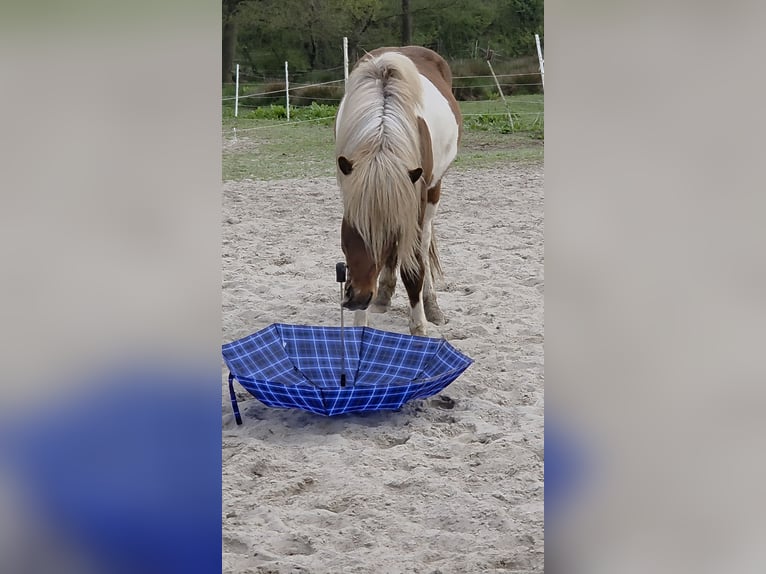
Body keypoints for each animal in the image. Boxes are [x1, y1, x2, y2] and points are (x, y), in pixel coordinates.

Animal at [334, 46, 462, 336]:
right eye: (351, 229)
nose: (358, 298)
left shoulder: (414, 204)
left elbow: (414, 266)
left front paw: (419, 325)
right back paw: (383, 295)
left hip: (432, 195)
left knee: (424, 248)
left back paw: (431, 305)